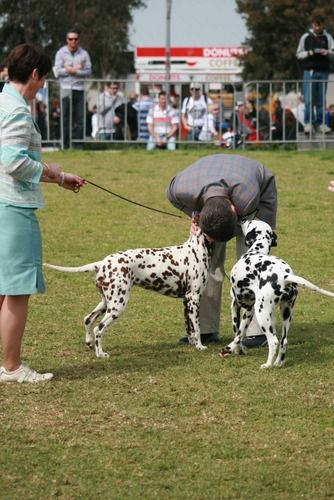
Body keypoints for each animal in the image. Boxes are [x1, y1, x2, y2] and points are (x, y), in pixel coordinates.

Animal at [44, 229, 213, 358]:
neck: (196, 248)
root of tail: (102, 263)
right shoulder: (193, 298)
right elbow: (197, 327)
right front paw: (199, 346)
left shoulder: (186, 301)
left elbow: (190, 328)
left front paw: (192, 344)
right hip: (118, 305)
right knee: (99, 328)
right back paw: (101, 354)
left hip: (106, 303)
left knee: (88, 319)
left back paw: (89, 343)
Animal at [219, 221, 334, 370]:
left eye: (250, 222)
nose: (242, 220)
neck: (256, 251)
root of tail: (284, 275)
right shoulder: (249, 311)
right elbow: (241, 333)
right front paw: (236, 348)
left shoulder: (235, 305)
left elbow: (236, 331)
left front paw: (234, 349)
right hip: (285, 313)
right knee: (283, 341)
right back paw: (278, 363)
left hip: (262, 314)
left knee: (273, 341)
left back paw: (268, 365)